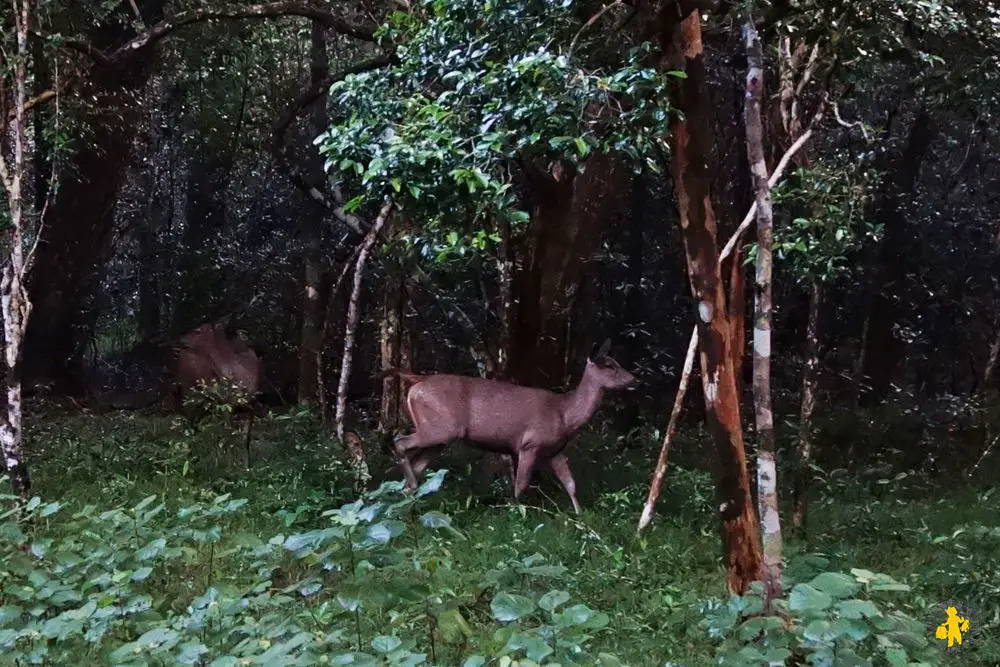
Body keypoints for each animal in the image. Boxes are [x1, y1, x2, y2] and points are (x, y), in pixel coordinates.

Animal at [382, 340, 632, 516]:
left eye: (617, 362)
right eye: (609, 366)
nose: (634, 379)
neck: (565, 414)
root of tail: (417, 381)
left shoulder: (555, 450)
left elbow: (571, 484)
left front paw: (581, 516)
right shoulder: (530, 444)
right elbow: (520, 484)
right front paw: (516, 514)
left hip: (439, 436)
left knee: (416, 462)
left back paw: (406, 496)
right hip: (440, 428)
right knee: (400, 442)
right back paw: (409, 489)